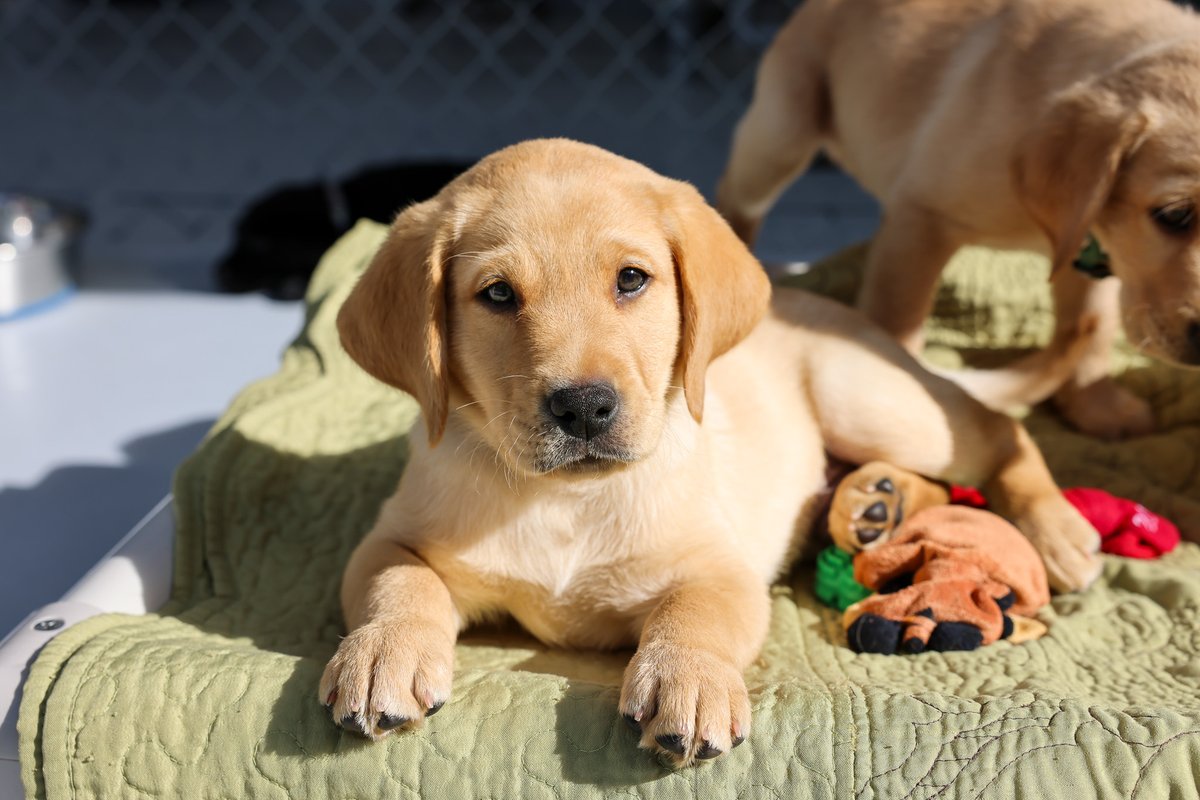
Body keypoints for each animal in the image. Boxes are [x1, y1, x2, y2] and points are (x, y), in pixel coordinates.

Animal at [316, 140, 1099, 767]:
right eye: (498, 294)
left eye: (632, 279)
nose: (584, 407)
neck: (568, 496)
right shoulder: (393, 535)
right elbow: (399, 581)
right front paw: (382, 652)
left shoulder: (721, 568)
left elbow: (693, 614)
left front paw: (686, 682)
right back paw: (878, 504)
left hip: (871, 402)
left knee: (999, 432)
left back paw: (1058, 533)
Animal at [715, 0, 1200, 438]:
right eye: (1174, 215)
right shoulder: (922, 214)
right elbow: (898, 323)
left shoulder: (1090, 243)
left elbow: (1090, 326)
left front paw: (1096, 406)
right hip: (781, 132)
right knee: (735, 197)